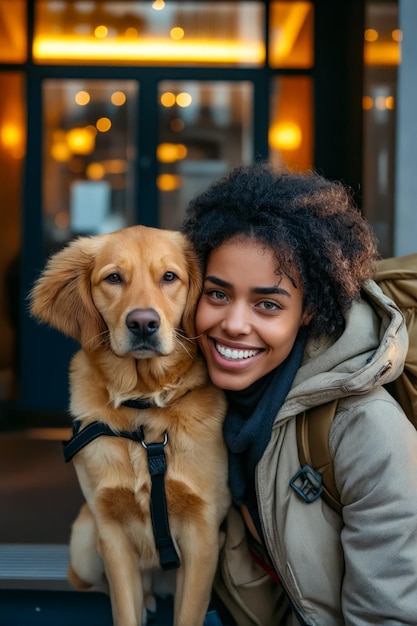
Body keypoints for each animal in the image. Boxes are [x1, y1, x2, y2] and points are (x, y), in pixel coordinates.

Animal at [29, 225, 231, 624]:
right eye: (113, 278)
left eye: (169, 277)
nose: (142, 323)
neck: (143, 407)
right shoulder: (111, 534)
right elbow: (124, 608)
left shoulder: (203, 535)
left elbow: (187, 614)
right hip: (84, 546)